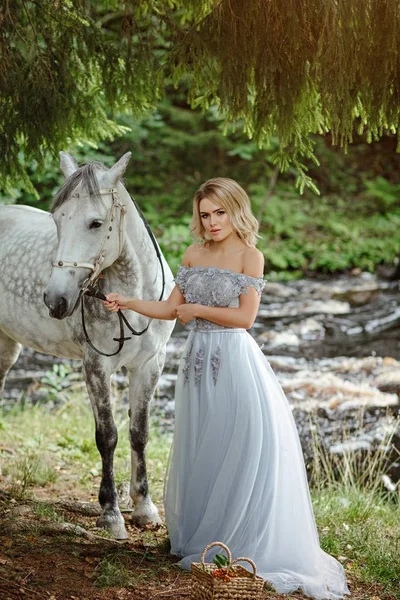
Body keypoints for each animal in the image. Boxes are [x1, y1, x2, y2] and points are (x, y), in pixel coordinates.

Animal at [0, 151, 175, 540]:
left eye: (96, 223)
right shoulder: (96, 365)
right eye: (57, 219)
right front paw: (111, 513)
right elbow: (106, 435)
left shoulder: (149, 365)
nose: (56, 299)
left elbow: (139, 433)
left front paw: (144, 508)